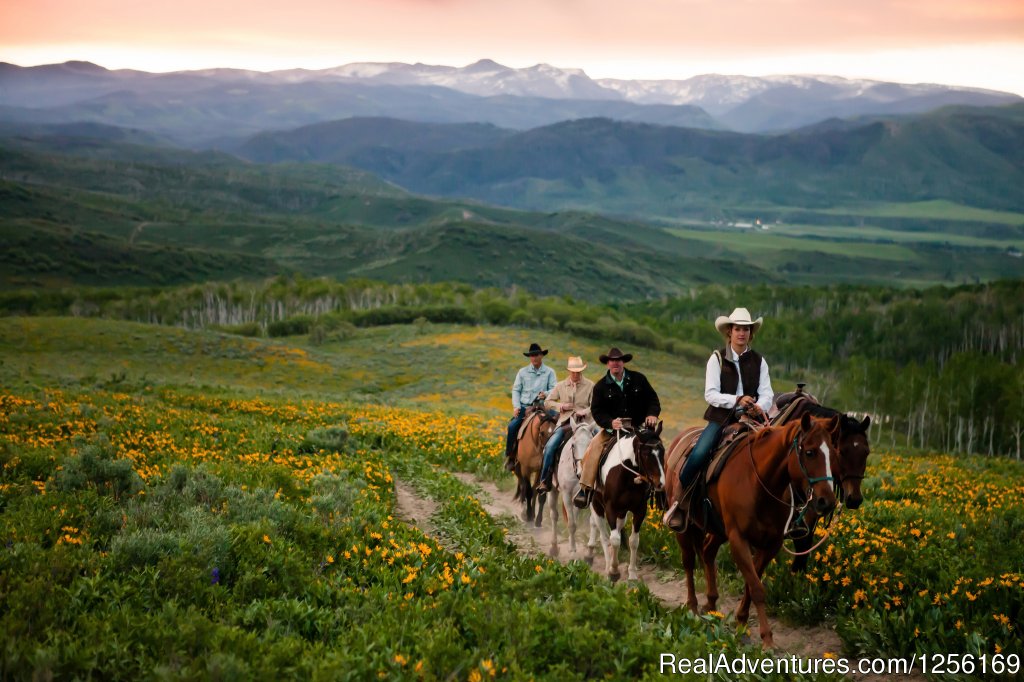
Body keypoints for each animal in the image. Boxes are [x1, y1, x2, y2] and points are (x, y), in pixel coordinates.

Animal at [544, 417, 598, 557]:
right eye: (573, 445)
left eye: (590, 445)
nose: (581, 472)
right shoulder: (567, 494)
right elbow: (572, 524)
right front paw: (573, 552)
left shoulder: (581, 497)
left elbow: (577, 522)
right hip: (552, 491)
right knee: (554, 515)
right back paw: (554, 547)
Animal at [589, 421, 667, 581]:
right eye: (646, 454)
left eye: (662, 452)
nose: (660, 484)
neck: (628, 477)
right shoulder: (610, 508)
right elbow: (614, 540)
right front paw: (613, 571)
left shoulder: (639, 510)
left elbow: (633, 541)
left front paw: (632, 574)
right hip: (596, 506)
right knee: (604, 536)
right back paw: (608, 565)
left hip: (622, 513)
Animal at [663, 411, 839, 647]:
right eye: (809, 452)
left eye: (834, 454)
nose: (826, 501)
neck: (759, 482)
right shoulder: (738, 539)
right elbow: (756, 587)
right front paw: (767, 639)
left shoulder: (771, 544)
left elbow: (752, 582)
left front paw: (742, 622)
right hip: (685, 526)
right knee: (689, 562)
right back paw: (692, 607)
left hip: (718, 530)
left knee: (708, 552)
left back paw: (711, 604)